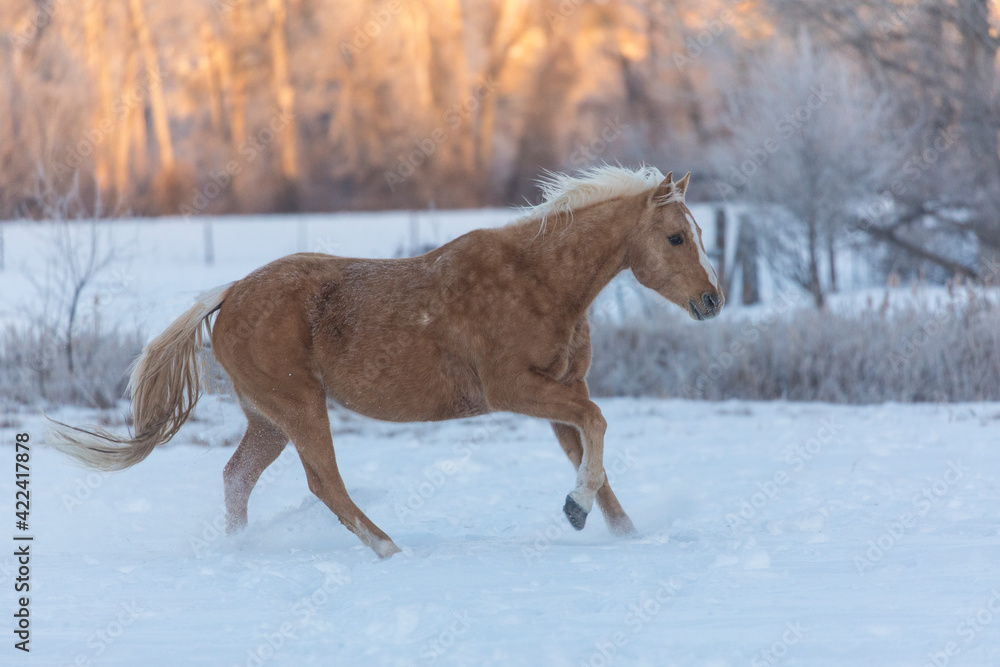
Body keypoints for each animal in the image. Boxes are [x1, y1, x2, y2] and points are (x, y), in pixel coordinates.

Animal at [48, 166, 720, 560]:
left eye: (698, 234)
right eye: (675, 238)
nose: (711, 301)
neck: (539, 281)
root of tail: (230, 293)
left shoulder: (559, 394)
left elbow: (595, 458)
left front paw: (622, 533)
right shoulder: (515, 390)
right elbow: (599, 424)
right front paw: (575, 509)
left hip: (267, 419)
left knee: (237, 477)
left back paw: (242, 549)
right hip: (299, 406)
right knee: (324, 482)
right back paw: (389, 549)